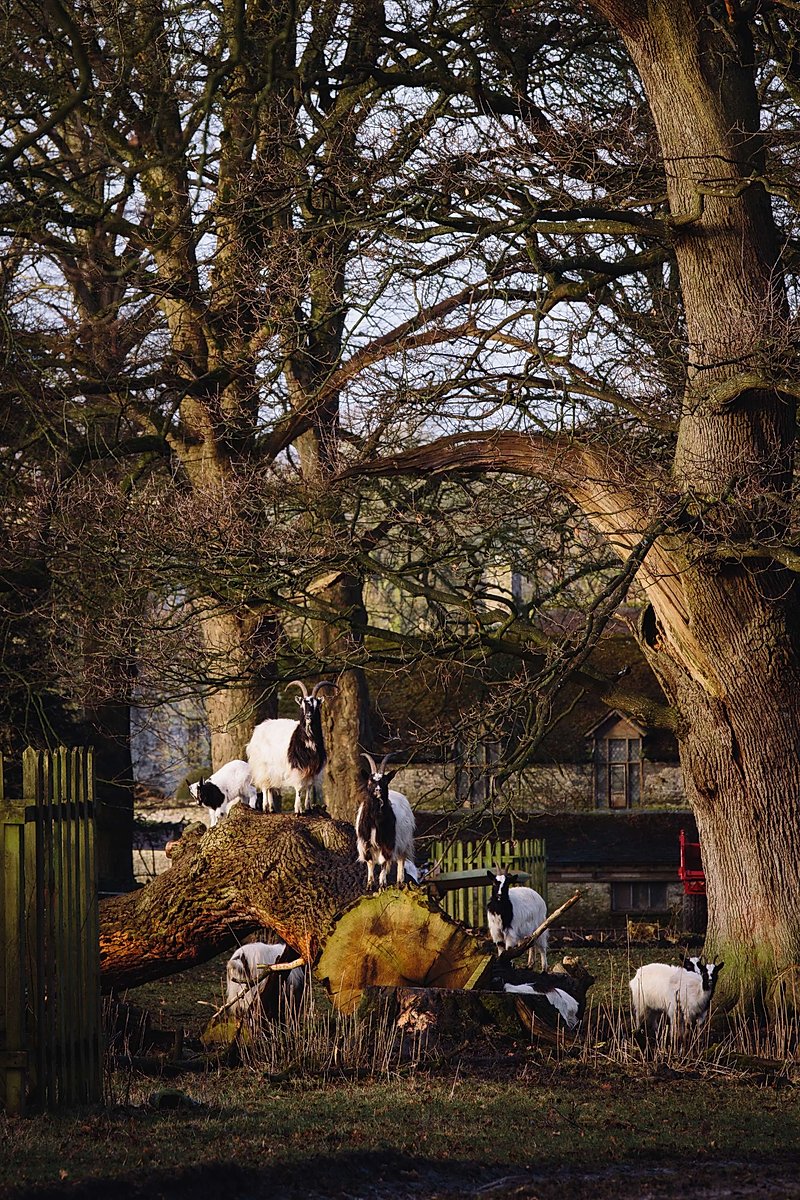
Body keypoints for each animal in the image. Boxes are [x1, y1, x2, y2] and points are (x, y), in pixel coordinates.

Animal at [248, 676, 340, 816]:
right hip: (262, 764)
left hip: (273, 769)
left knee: (270, 786)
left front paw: (308, 808)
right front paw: (298, 810)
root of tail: (259, 728)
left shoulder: (312, 768)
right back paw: (265, 807)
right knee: (265, 785)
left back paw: (272, 808)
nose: (308, 716)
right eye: (302, 705)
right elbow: (299, 787)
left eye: (316, 705)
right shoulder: (297, 766)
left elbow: (309, 786)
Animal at [357, 748, 419, 892]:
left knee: (401, 859)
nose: (378, 790)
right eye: (370, 781)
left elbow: (384, 862)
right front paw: (369, 885)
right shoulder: (366, 843)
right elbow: (370, 862)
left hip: (404, 841)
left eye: (385, 781)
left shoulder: (388, 842)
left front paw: (382, 884)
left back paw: (400, 882)